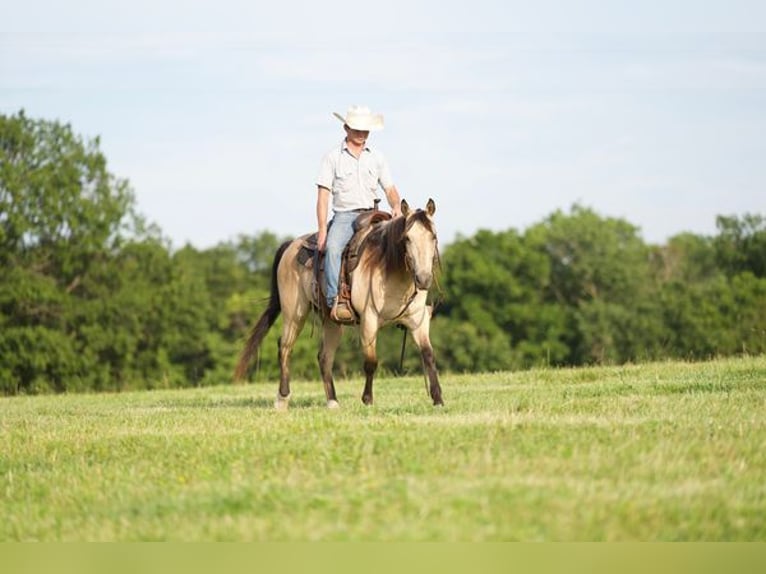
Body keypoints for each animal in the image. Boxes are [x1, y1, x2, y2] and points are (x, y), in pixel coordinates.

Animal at [234, 198, 444, 409]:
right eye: (407, 238)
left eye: (434, 236)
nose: (423, 279)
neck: (389, 268)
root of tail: (291, 244)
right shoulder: (369, 320)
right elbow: (371, 362)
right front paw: (367, 399)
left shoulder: (418, 320)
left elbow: (429, 355)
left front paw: (438, 399)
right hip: (294, 313)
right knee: (285, 347)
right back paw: (282, 398)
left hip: (331, 321)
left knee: (324, 357)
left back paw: (332, 401)